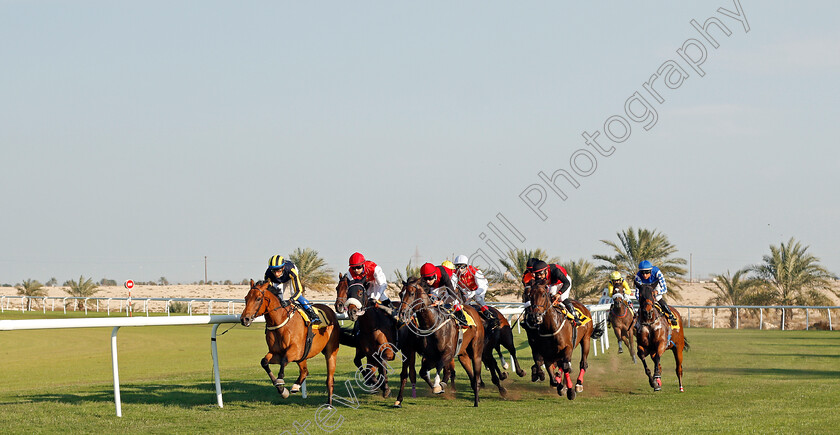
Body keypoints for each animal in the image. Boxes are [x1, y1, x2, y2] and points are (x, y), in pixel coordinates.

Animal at [398, 278, 488, 408]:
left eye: (411, 293)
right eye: (400, 294)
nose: (401, 313)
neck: (434, 323)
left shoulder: (447, 354)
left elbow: (441, 367)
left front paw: (438, 386)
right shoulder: (430, 356)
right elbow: (423, 372)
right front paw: (440, 386)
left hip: (476, 351)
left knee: (476, 376)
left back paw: (476, 400)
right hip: (463, 355)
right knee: (471, 376)